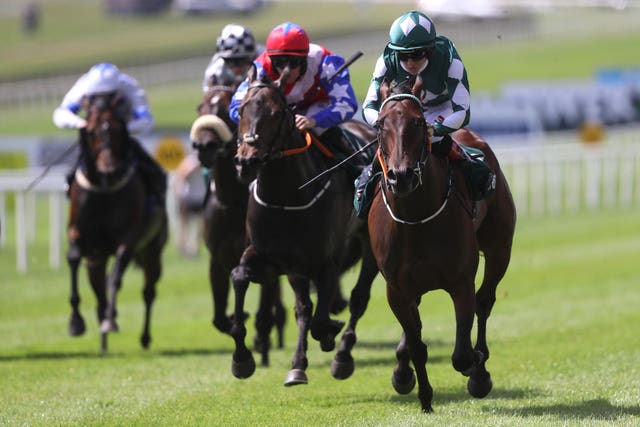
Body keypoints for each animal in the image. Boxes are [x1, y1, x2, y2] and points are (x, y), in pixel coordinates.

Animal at [67, 93, 168, 354]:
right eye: (91, 131)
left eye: (116, 129)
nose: (109, 168)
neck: (105, 189)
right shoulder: (80, 237)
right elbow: (73, 259)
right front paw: (76, 322)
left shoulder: (127, 240)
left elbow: (115, 279)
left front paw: (110, 321)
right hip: (97, 258)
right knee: (99, 290)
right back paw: (103, 338)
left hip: (152, 251)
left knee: (148, 293)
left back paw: (143, 336)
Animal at [190, 77, 284, 364]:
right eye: (200, 107)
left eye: (224, 109)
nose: (204, 146)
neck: (232, 203)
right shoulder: (217, 257)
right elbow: (219, 317)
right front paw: (236, 317)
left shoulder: (260, 253)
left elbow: (264, 308)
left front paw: (260, 339)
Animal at [368, 77, 516, 414]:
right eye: (381, 124)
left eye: (418, 122)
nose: (401, 177)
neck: (416, 219)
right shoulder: (396, 289)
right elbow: (417, 345)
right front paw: (423, 397)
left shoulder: (461, 282)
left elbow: (461, 353)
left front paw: (477, 369)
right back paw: (403, 371)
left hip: (500, 248)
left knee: (485, 301)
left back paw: (480, 368)